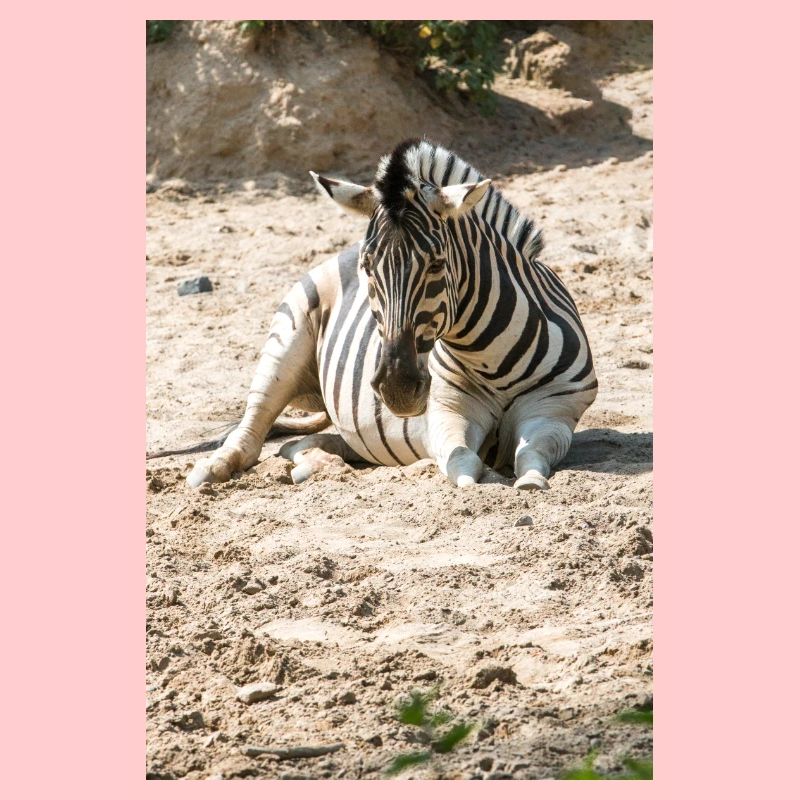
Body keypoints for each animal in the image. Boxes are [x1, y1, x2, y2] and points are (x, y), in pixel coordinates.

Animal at [184, 138, 597, 490]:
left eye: (437, 264)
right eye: (368, 266)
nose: (396, 388)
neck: (488, 356)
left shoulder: (555, 410)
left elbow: (531, 454)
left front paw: (530, 481)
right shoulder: (447, 411)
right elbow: (464, 463)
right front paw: (481, 479)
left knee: (306, 444)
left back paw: (314, 465)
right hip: (286, 340)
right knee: (254, 423)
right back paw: (212, 469)